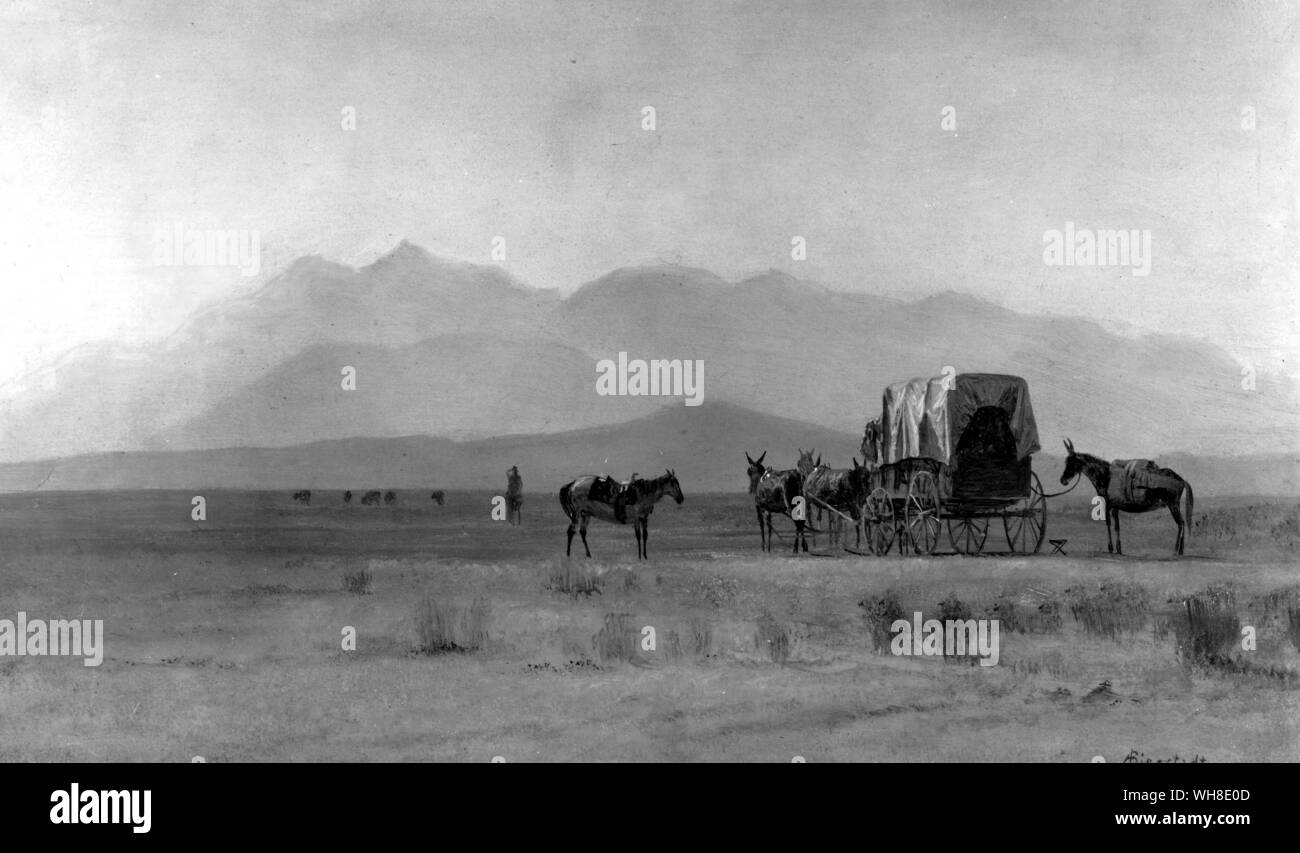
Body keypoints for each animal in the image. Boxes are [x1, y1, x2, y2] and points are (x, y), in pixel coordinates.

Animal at [556, 465, 686, 559]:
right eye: (674, 483)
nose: (681, 498)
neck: (643, 493)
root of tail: (572, 484)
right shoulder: (636, 518)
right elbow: (638, 536)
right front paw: (639, 557)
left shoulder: (644, 518)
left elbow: (645, 536)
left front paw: (645, 556)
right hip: (576, 514)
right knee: (571, 532)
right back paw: (568, 555)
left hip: (586, 514)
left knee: (582, 532)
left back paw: (589, 555)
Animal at [1060, 439, 1190, 559]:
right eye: (1066, 461)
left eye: (1073, 462)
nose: (1063, 480)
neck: (1106, 476)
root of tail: (1181, 479)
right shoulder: (1115, 507)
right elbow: (1117, 526)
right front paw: (1118, 549)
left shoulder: (1108, 505)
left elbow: (1109, 523)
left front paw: (1111, 548)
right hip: (1175, 504)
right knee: (1182, 523)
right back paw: (1181, 551)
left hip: (1172, 504)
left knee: (1180, 523)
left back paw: (1175, 551)